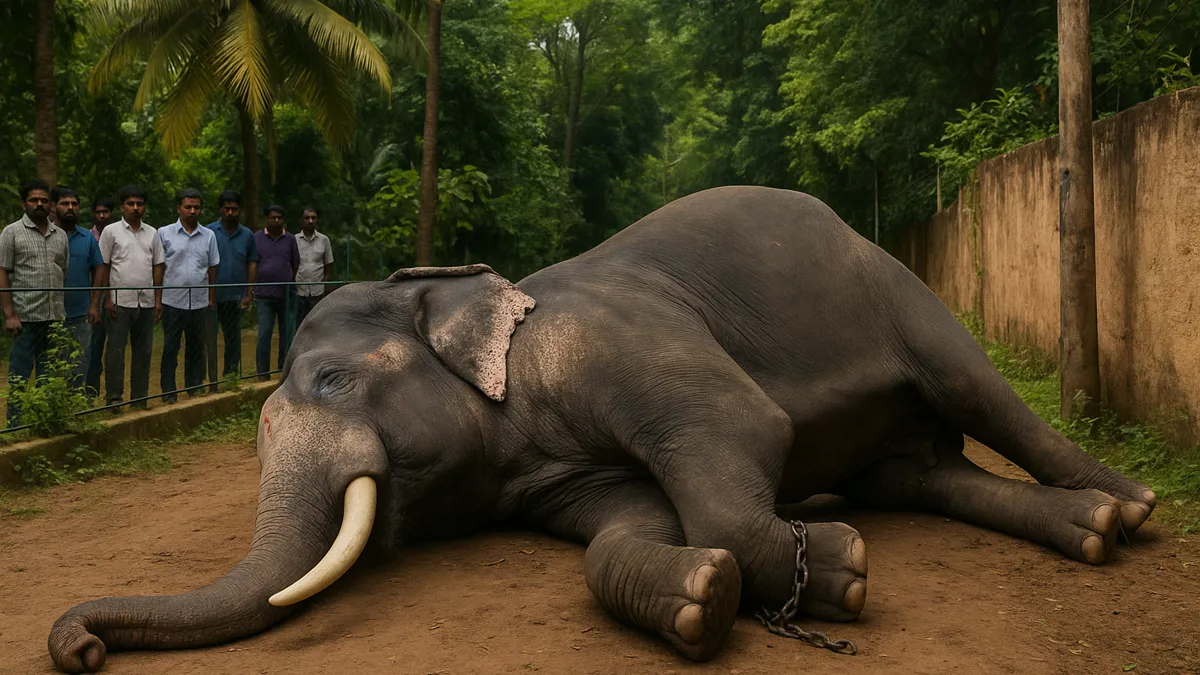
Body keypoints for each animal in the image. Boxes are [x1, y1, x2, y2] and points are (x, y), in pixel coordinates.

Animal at [46, 186, 1156, 673]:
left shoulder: (614, 342)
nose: (81, 646)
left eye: (327, 378)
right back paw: (1090, 528)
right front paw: (703, 595)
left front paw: (836, 574)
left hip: (904, 294)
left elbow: (739, 431)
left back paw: (1132, 510)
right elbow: (626, 525)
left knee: (980, 396)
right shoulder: (550, 469)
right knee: (920, 475)